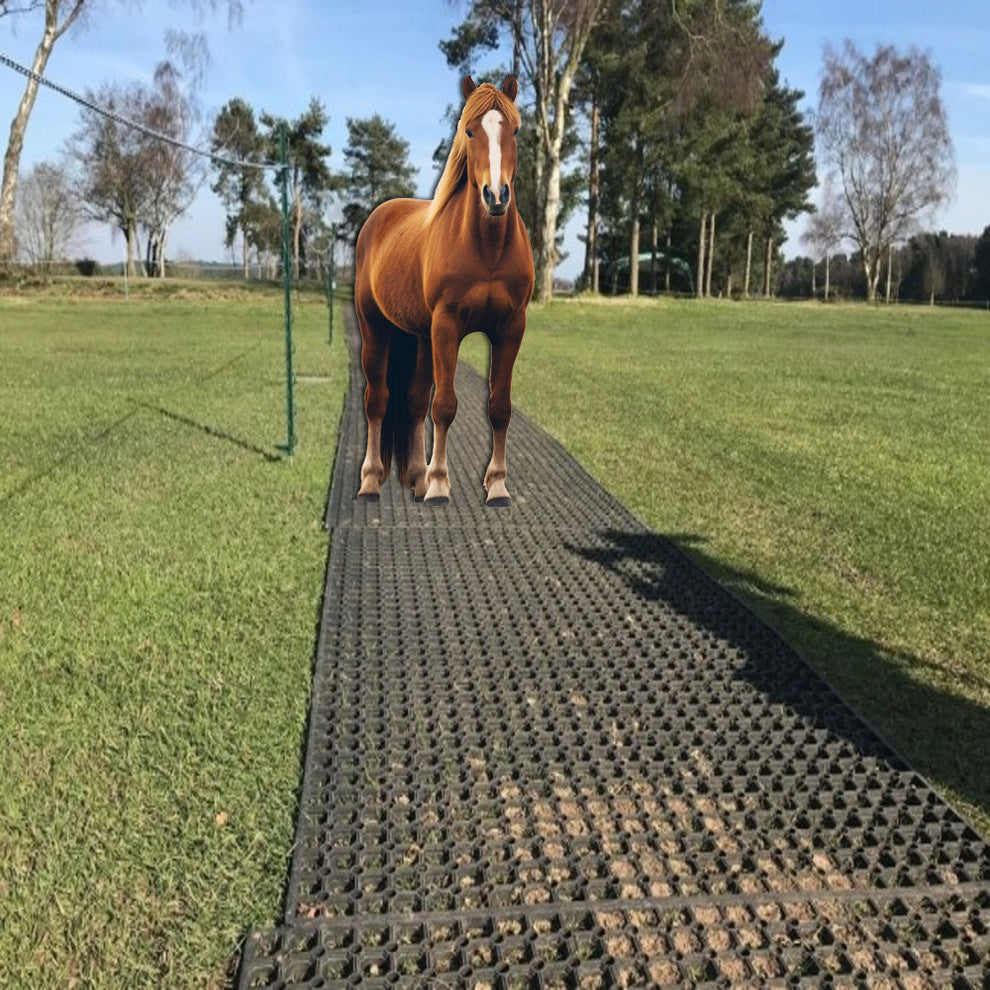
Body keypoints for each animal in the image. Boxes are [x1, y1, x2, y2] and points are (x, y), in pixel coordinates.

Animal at [353, 75, 534, 507]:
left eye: (515, 130)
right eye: (468, 131)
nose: (496, 196)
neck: (486, 250)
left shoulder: (511, 328)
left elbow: (499, 407)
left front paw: (497, 487)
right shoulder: (447, 326)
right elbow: (446, 405)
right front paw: (439, 485)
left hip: (419, 336)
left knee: (414, 401)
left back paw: (417, 478)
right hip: (375, 331)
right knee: (377, 400)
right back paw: (371, 481)